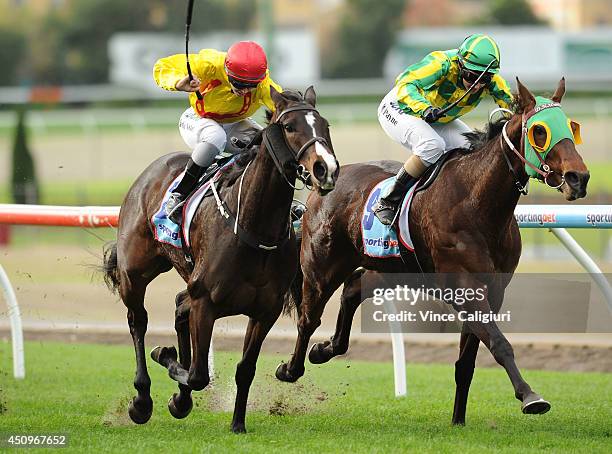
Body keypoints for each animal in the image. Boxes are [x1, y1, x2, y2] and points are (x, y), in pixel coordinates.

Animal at [101, 88, 340, 432]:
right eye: (290, 127)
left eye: (325, 125)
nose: (326, 169)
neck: (254, 228)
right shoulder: (206, 303)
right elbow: (198, 374)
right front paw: (166, 359)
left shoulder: (264, 311)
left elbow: (244, 369)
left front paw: (237, 423)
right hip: (134, 273)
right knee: (138, 322)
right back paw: (142, 400)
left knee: (178, 305)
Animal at [276, 79, 588, 426]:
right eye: (539, 131)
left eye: (571, 127)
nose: (579, 177)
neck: (477, 202)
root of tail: (323, 181)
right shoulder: (466, 289)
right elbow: (499, 343)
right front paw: (530, 396)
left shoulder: (493, 291)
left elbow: (467, 362)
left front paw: (458, 420)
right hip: (322, 268)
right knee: (308, 318)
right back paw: (290, 369)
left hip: (392, 270)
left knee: (353, 288)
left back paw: (325, 349)